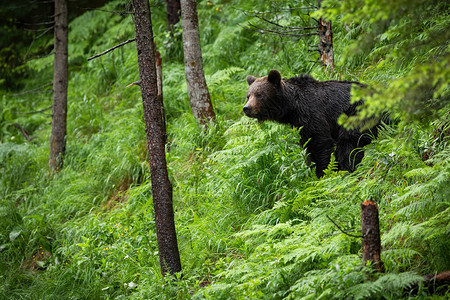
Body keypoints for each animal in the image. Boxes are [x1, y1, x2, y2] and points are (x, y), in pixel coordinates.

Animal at [244, 69, 382, 178]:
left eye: (259, 94)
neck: (291, 108)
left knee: (349, 145)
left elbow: (319, 143)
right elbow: (307, 146)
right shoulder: (299, 124)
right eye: (248, 95)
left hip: (358, 114)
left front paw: (323, 172)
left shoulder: (312, 113)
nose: (246, 108)